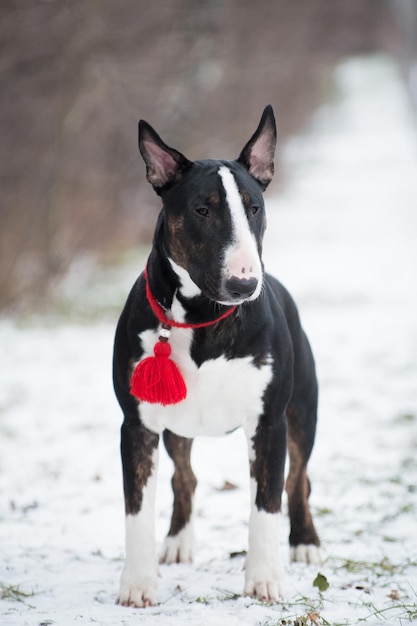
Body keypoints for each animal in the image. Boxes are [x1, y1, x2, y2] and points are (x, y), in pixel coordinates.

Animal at [112, 105, 320, 608]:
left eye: (254, 207)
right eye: (202, 210)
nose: (245, 285)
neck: (202, 320)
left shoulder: (269, 422)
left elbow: (266, 504)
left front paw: (264, 580)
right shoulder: (137, 425)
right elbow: (136, 509)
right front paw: (137, 585)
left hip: (303, 411)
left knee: (298, 478)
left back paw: (305, 542)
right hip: (176, 426)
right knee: (184, 478)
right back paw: (177, 542)